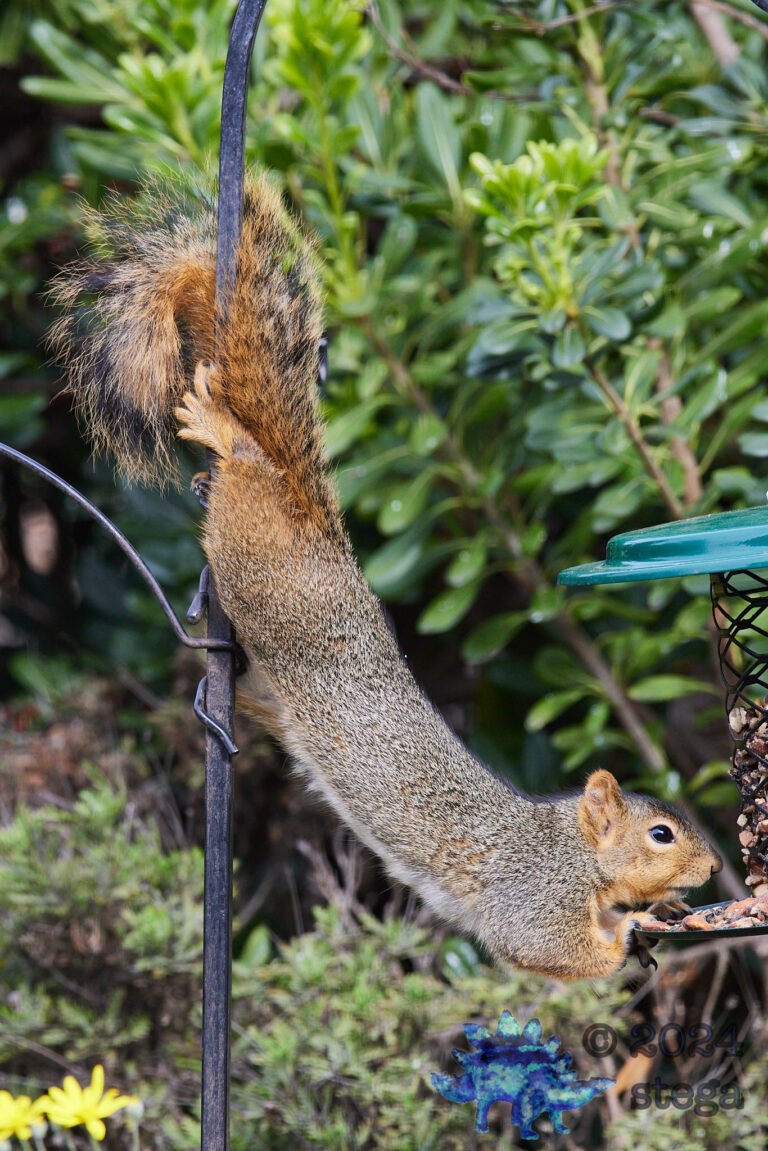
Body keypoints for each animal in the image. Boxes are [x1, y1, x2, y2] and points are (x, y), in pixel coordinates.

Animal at [48, 172, 723, 980]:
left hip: (271, 679)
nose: (714, 868)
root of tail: (315, 527)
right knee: (248, 470)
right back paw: (223, 431)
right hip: (259, 559)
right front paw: (634, 930)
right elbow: (546, 947)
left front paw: (659, 918)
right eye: (660, 833)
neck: (571, 847)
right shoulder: (534, 895)